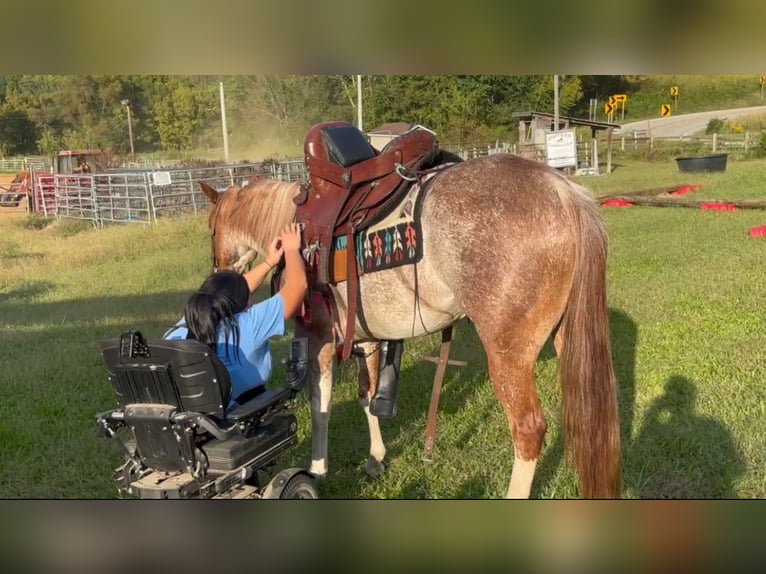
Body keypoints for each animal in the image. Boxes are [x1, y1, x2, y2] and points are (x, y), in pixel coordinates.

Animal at [199, 152, 621, 498]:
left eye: (211, 226)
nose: (217, 272)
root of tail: (564, 192)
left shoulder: (317, 339)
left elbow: (321, 405)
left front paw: (317, 471)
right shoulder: (366, 340)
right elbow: (367, 397)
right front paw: (376, 458)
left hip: (508, 355)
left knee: (528, 429)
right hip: (569, 342)